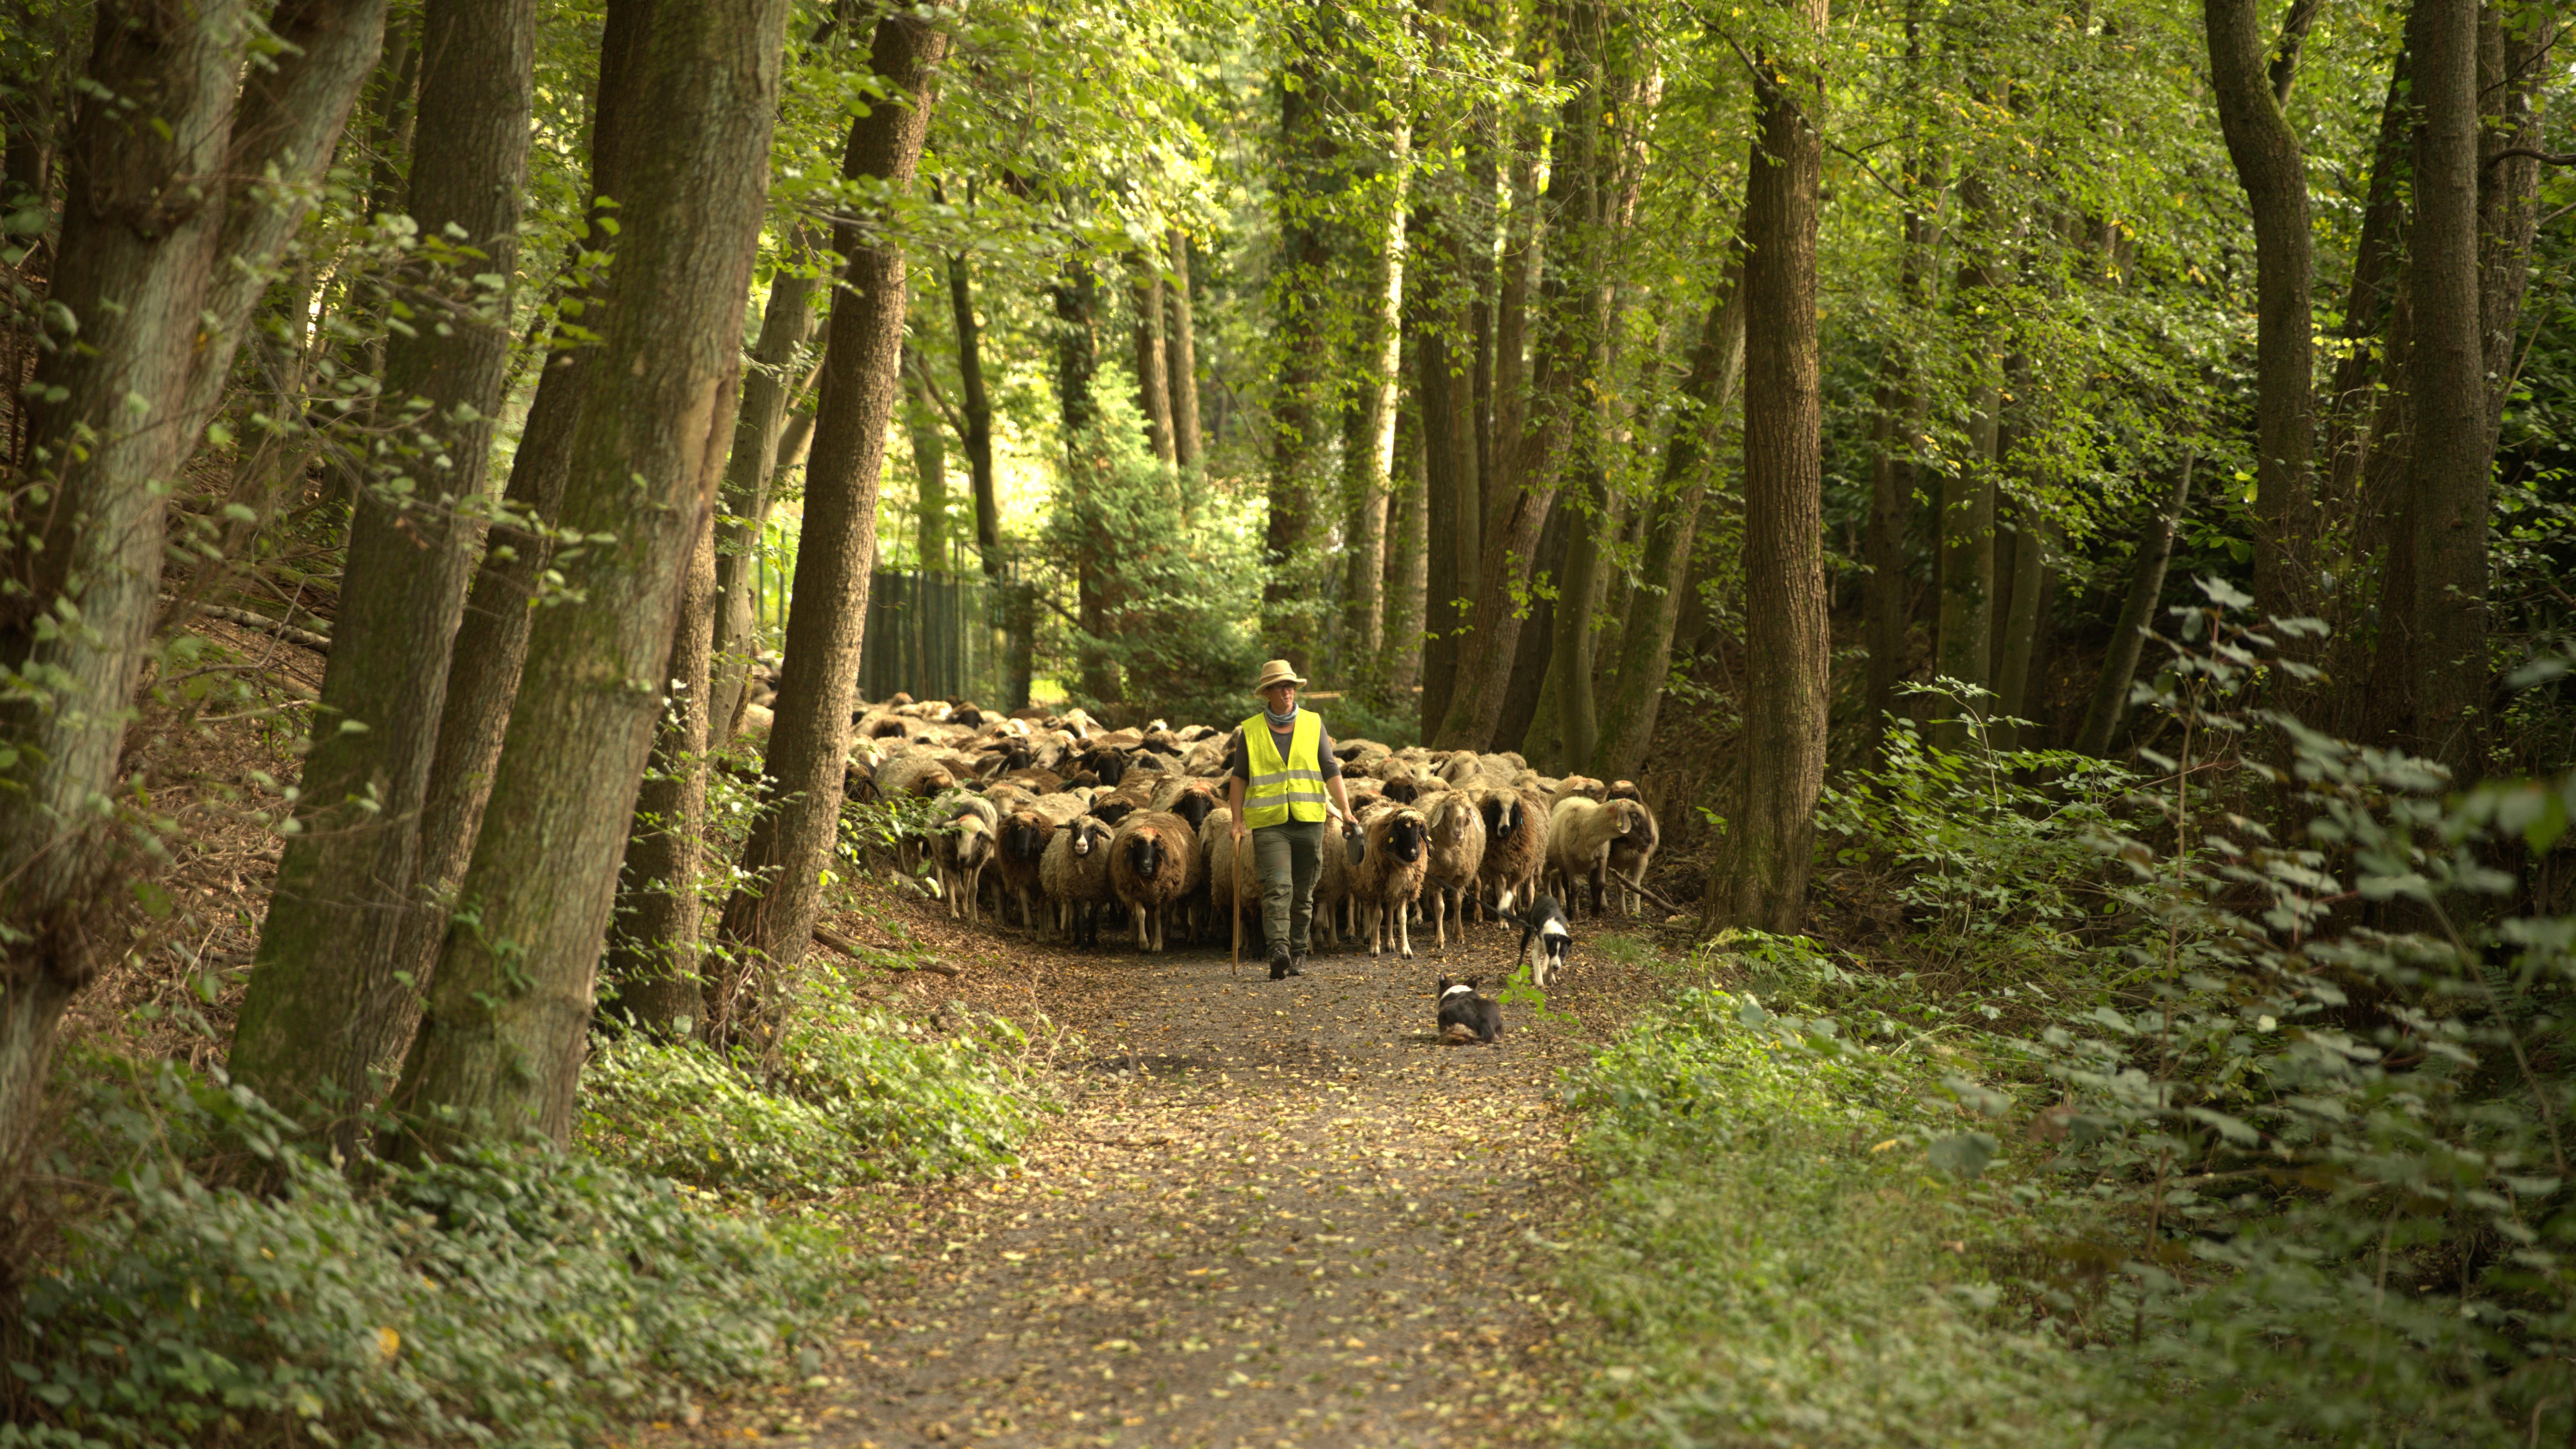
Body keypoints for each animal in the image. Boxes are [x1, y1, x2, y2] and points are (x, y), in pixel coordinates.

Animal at [1102, 815, 1190, 949]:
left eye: (1156, 847)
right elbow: (1141, 913)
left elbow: (1158, 915)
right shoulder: (1136, 892)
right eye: (1138, 846)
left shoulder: (1160, 892)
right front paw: (1144, 943)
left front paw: (1158, 944)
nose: (1146, 866)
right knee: (1144, 913)